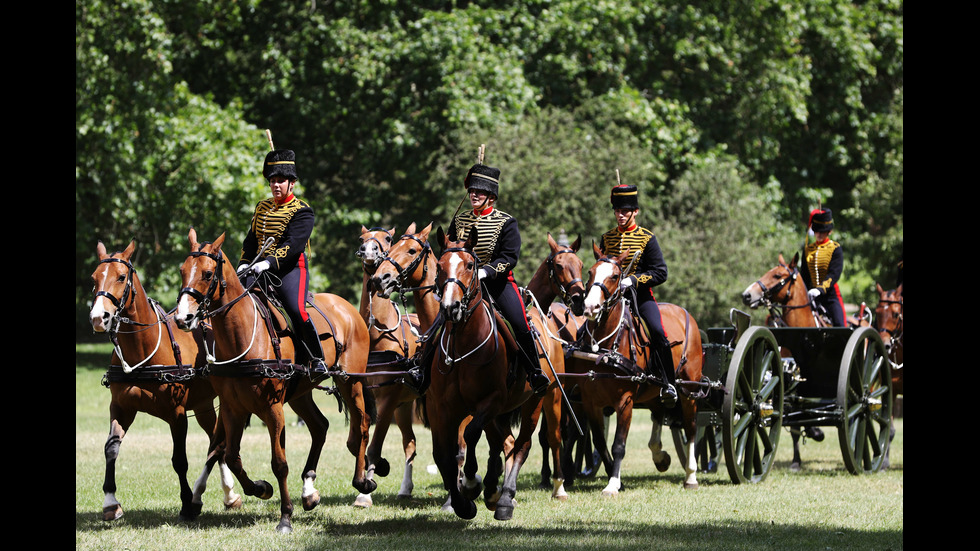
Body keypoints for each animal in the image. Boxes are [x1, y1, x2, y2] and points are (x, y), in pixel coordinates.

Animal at [90, 240, 241, 520]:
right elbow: (111, 448)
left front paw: (186, 503)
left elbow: (179, 460)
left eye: (121, 276)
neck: (142, 351)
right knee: (216, 440)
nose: (98, 317)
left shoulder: (177, 413)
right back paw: (229, 493)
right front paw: (110, 503)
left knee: (219, 442)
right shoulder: (121, 407)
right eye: (94, 278)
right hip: (203, 405)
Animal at [172, 229, 376, 536]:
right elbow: (230, 455)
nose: (183, 317)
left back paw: (362, 482)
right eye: (183, 270)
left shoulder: (272, 409)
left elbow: (279, 463)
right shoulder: (232, 408)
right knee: (320, 426)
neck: (242, 335)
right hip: (301, 393)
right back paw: (309, 491)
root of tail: (348, 308)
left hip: (349, 382)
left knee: (361, 426)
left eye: (208, 274)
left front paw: (285, 517)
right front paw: (261, 488)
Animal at [420, 226, 548, 520]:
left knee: (520, 446)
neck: (463, 347)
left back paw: (504, 498)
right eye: (440, 266)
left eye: (470, 265)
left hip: (532, 404)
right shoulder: (439, 407)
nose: (451, 307)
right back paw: (493, 490)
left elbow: (471, 435)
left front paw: (470, 484)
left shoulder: (490, 401)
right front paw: (462, 503)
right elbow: (442, 455)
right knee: (502, 441)